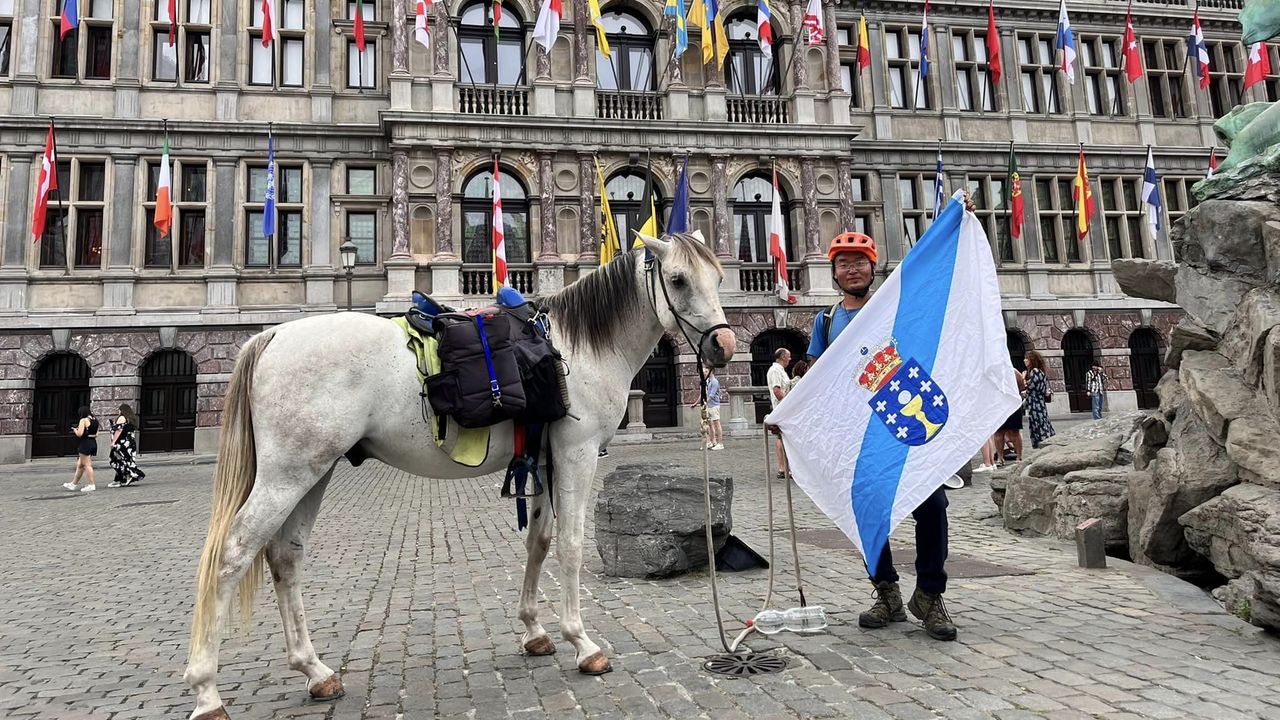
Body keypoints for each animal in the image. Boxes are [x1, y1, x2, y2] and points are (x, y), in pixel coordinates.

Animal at [185, 234, 737, 717]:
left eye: (718, 276)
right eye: (678, 279)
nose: (725, 345)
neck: (578, 350)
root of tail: (273, 332)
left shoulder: (543, 458)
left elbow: (538, 542)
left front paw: (534, 631)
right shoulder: (576, 453)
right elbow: (571, 545)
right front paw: (581, 641)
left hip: (312, 471)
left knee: (284, 556)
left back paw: (315, 671)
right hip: (288, 474)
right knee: (232, 554)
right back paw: (207, 693)